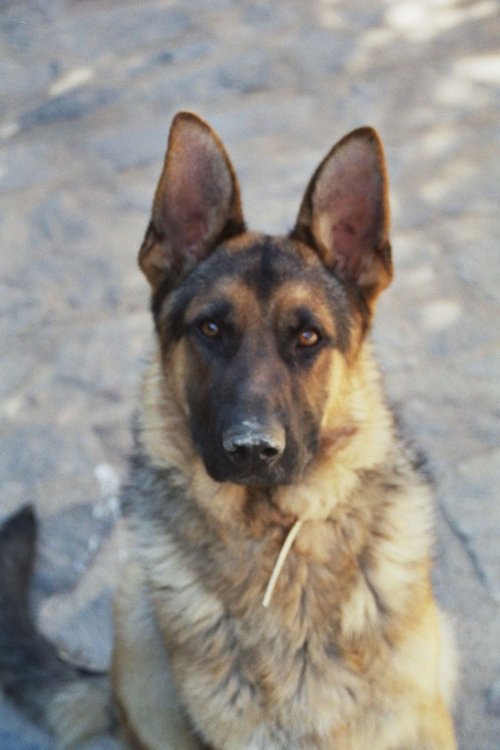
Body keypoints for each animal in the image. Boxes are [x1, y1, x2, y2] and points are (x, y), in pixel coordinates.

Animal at [0, 113, 458, 750]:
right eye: (211, 329)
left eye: (308, 337)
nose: (251, 449)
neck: (275, 541)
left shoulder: (422, 723)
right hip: (135, 621)